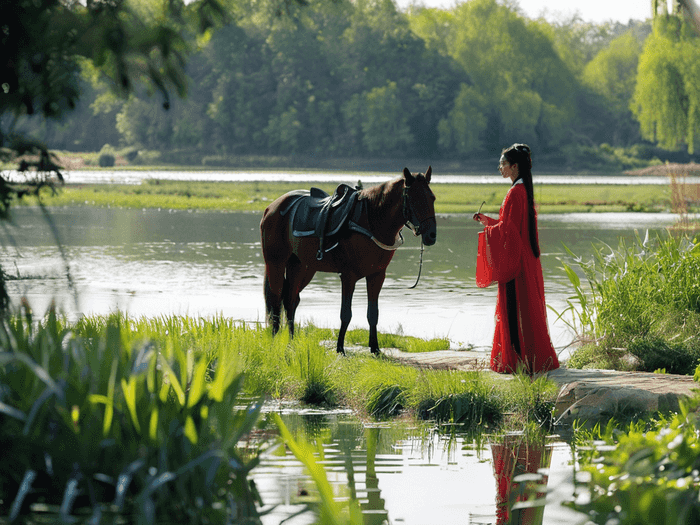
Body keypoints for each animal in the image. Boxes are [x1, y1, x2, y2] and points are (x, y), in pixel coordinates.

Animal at [260, 167, 434, 356]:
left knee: (290, 300)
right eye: (414, 199)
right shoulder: (348, 276)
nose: (431, 235)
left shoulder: (377, 276)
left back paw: (291, 343)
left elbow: (373, 313)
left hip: (301, 267)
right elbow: (346, 313)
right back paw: (274, 342)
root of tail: (271, 207)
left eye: (432, 198)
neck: (370, 220)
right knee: (276, 299)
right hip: (276, 263)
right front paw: (340, 348)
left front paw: (375, 348)